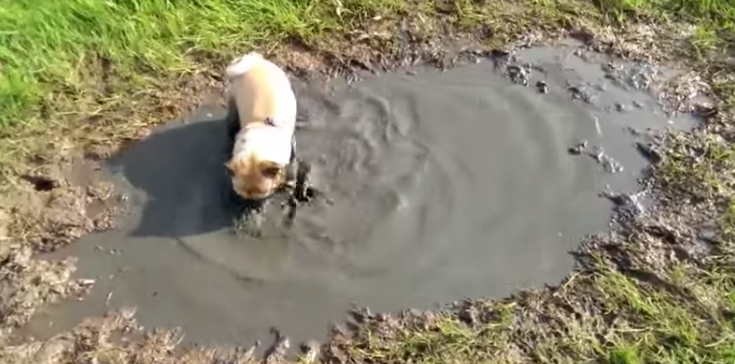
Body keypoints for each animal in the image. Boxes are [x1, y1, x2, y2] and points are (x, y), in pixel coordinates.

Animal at [223, 52, 298, 205]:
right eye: (241, 194)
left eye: (263, 193)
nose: (249, 203)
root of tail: (254, 61)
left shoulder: (291, 153)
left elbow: (291, 170)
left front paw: (289, 184)